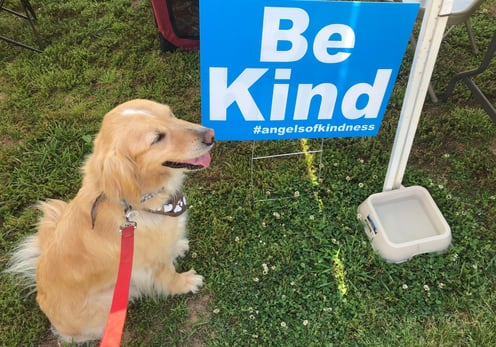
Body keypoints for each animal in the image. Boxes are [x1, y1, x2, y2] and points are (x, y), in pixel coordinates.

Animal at [6, 99, 214, 344]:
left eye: (170, 114)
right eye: (157, 138)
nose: (211, 135)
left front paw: (178, 246)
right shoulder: (152, 265)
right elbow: (169, 276)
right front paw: (186, 283)